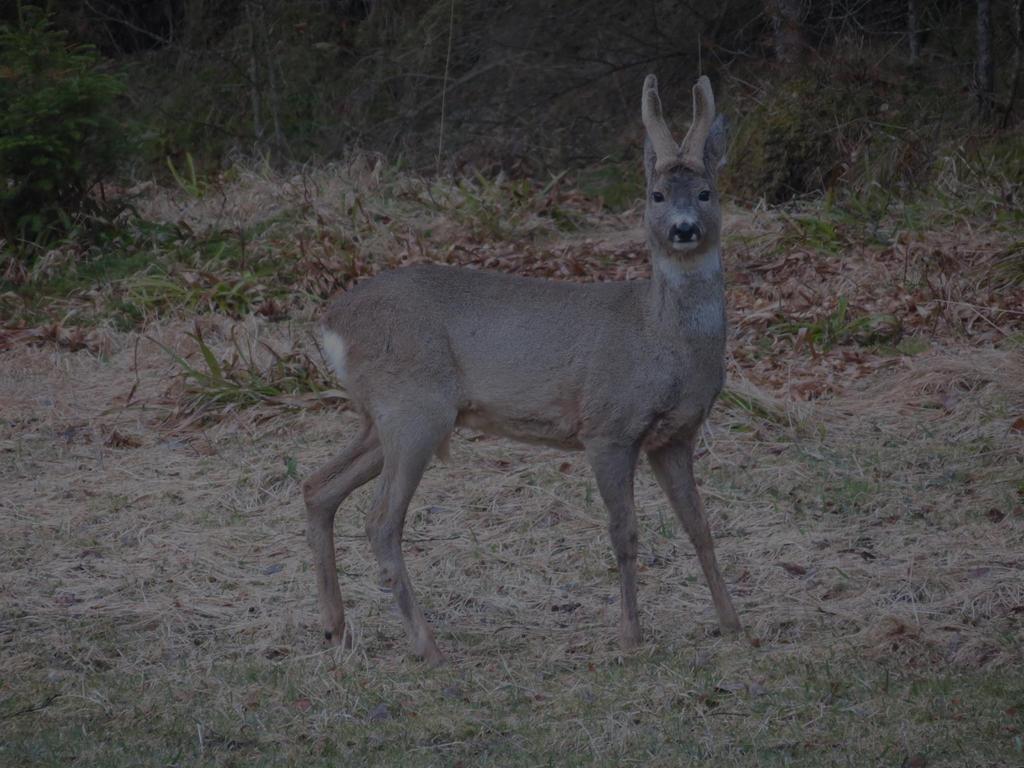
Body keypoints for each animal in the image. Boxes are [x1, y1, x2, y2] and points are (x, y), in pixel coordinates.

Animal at [299, 72, 741, 663]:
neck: (661, 339)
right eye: (656, 194)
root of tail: (332, 324)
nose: (685, 229)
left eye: (706, 192)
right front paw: (631, 636)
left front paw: (732, 622)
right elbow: (624, 533)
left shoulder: (674, 436)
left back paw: (337, 629)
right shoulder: (607, 426)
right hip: (415, 408)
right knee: (380, 520)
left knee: (318, 487)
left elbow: (700, 525)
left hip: (382, 416)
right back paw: (427, 645)